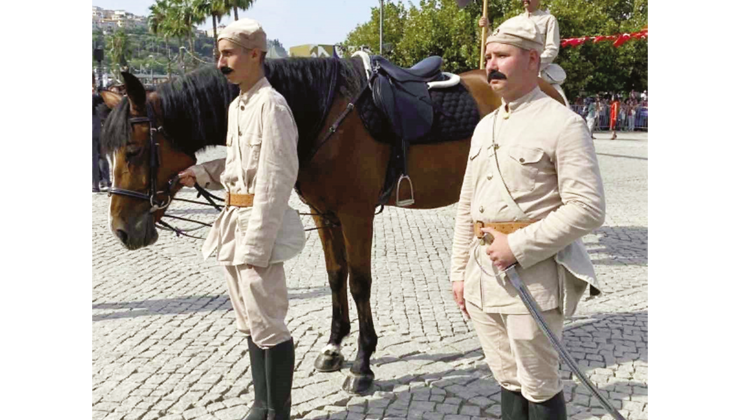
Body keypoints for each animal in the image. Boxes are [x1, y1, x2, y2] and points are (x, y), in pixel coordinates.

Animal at [97, 57, 560, 396]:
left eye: (133, 150)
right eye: (109, 151)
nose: (122, 229)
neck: (321, 114)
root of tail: (549, 83)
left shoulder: (356, 214)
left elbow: (359, 283)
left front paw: (362, 365)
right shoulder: (325, 214)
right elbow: (336, 277)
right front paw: (334, 347)